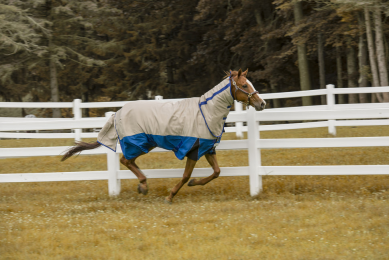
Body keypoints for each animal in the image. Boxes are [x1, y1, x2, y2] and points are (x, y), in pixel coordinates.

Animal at [60, 69, 266, 203]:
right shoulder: (193, 149)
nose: (261, 103)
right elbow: (185, 175)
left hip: (146, 143)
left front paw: (195, 183)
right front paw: (170, 196)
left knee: (129, 161)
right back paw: (143, 185)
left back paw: (142, 185)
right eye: (244, 85)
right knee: (125, 160)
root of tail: (117, 113)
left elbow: (216, 172)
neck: (207, 112)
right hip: (138, 142)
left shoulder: (207, 148)